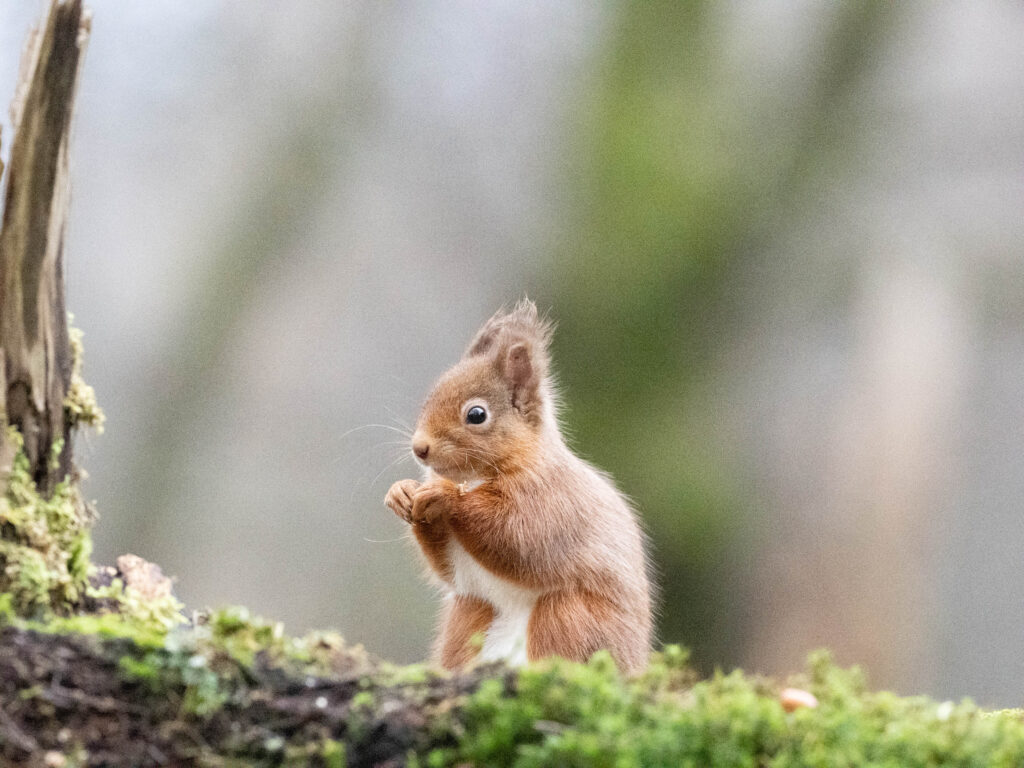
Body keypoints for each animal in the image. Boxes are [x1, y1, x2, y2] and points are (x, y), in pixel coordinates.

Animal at [385, 300, 653, 673]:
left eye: (477, 415)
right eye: (429, 398)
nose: (419, 448)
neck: (475, 477)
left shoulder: (551, 502)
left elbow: (516, 538)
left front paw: (446, 497)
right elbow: (447, 569)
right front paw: (401, 493)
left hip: (569, 616)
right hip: (471, 612)